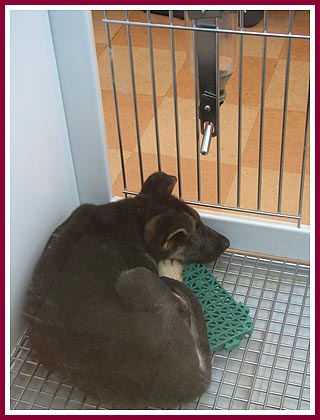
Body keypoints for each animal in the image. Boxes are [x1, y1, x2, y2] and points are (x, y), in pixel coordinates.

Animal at [26, 171, 229, 406]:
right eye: (195, 234)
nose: (227, 242)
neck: (132, 219)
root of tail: (194, 381)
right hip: (134, 278)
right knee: (180, 303)